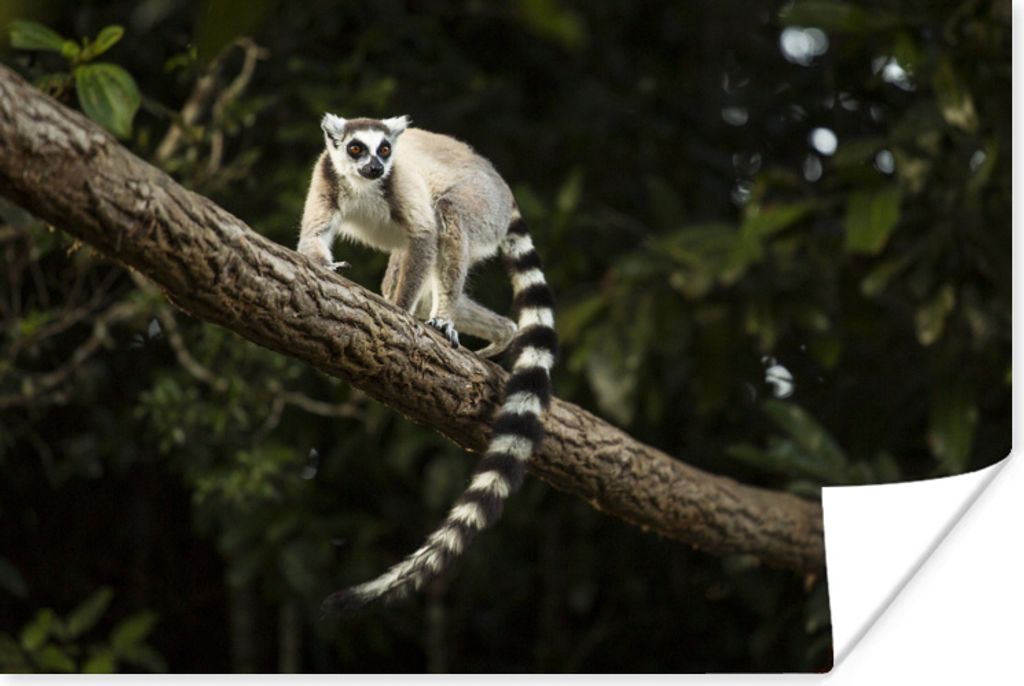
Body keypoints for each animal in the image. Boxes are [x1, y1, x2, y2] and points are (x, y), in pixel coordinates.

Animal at [298, 113, 557, 612]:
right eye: (356, 149)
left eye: (384, 150)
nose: (376, 167)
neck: (364, 187)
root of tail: (500, 183)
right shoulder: (326, 177)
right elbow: (312, 239)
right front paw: (325, 267)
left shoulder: (402, 187)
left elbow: (425, 235)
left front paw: (395, 315)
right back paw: (501, 333)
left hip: (482, 205)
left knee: (447, 216)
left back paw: (443, 319)